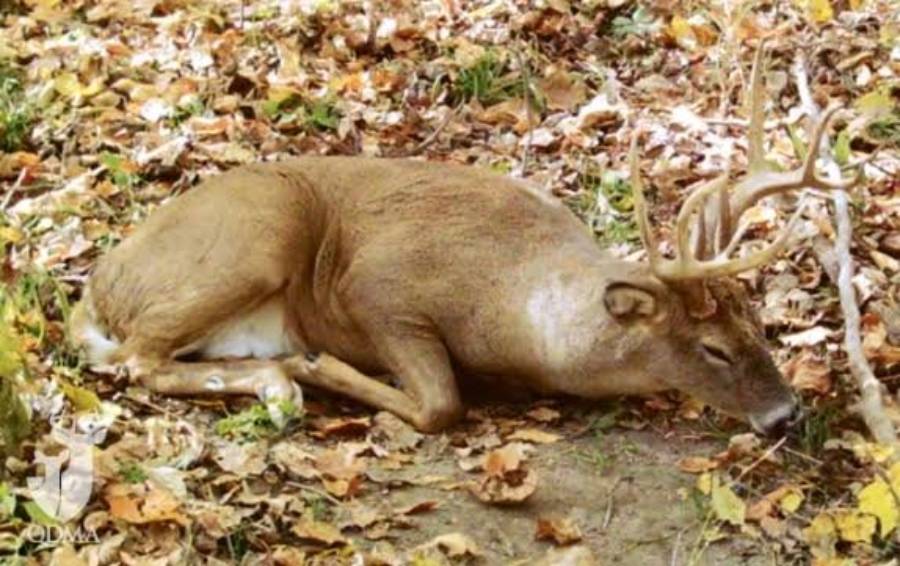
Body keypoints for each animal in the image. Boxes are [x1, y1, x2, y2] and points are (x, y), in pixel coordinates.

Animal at [70, 47, 858, 435]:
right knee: (137, 360)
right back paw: (280, 381)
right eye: (714, 349)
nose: (786, 417)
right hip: (259, 234)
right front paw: (318, 365)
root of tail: (99, 285)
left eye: (761, 326)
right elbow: (440, 406)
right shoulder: (380, 290)